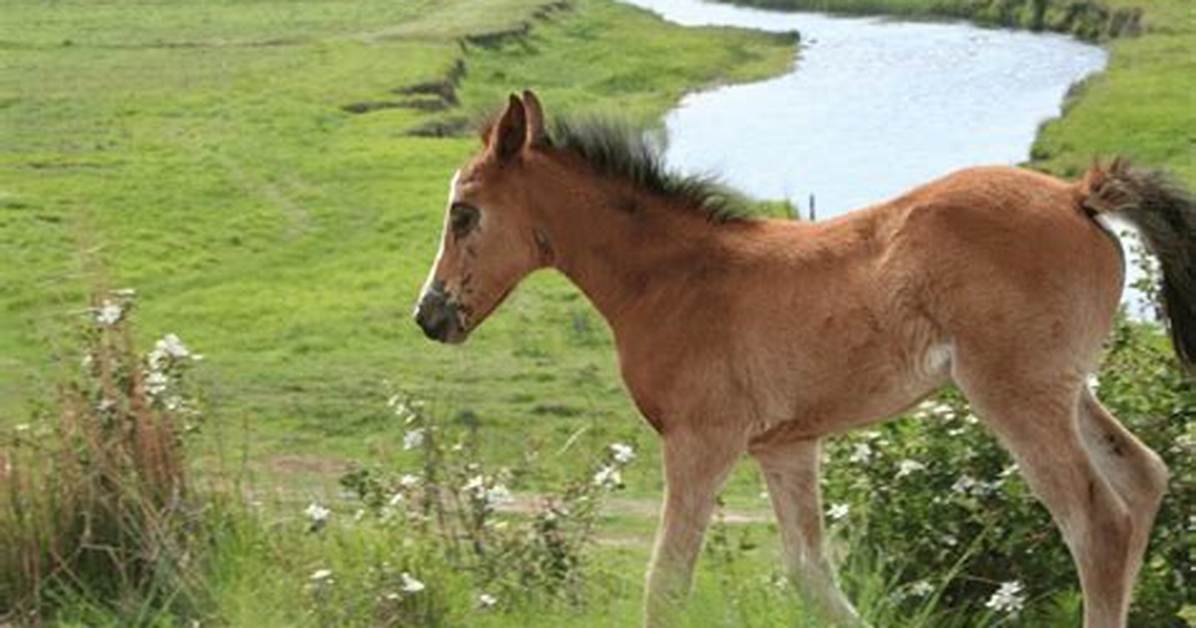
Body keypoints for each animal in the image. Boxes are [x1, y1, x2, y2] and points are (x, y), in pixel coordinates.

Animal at [413, 91, 1193, 627]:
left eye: (463, 213)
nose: (430, 316)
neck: (674, 279)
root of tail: (1077, 194)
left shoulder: (701, 441)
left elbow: (666, 581)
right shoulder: (786, 446)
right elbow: (812, 575)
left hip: (1015, 392)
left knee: (1097, 521)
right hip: (1066, 388)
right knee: (1143, 478)